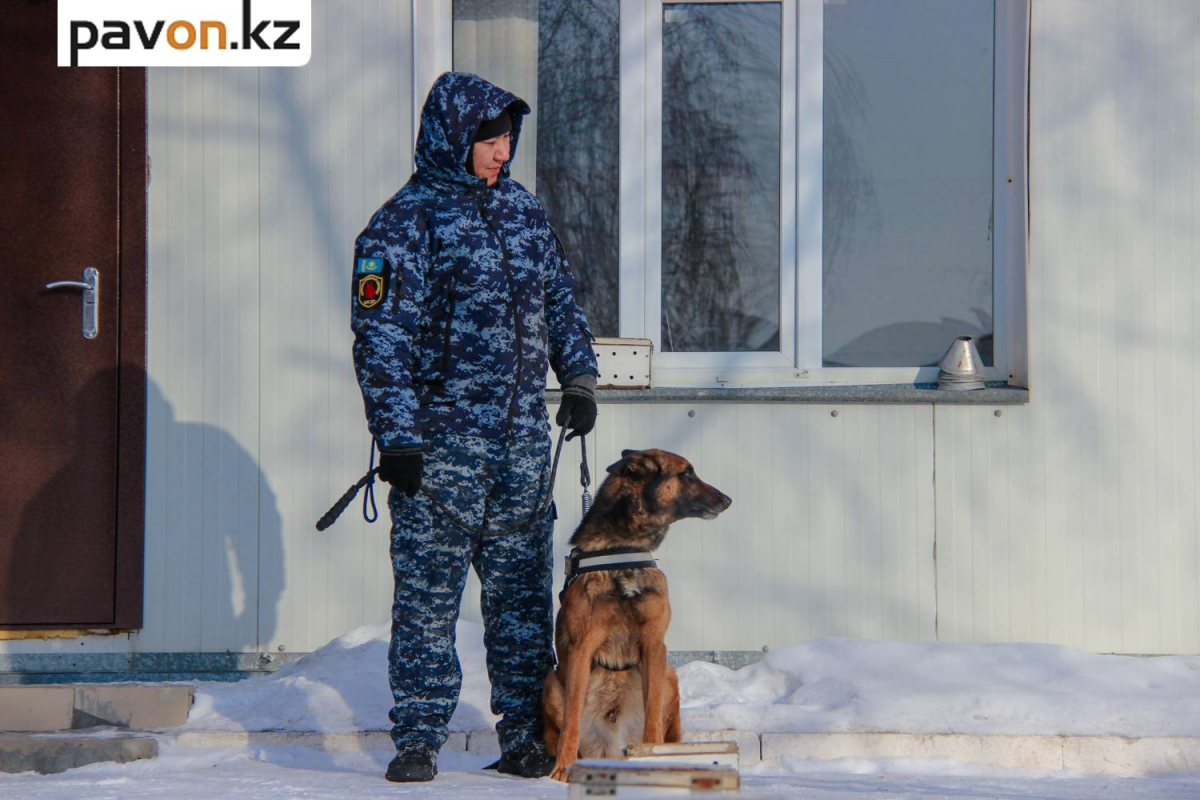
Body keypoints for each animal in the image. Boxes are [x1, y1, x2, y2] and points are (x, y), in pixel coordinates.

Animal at [544, 450, 729, 782]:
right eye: (687, 474)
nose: (727, 499)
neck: (624, 548)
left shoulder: (654, 644)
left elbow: (652, 716)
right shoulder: (581, 648)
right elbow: (571, 722)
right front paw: (563, 769)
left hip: (669, 675)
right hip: (551, 681)